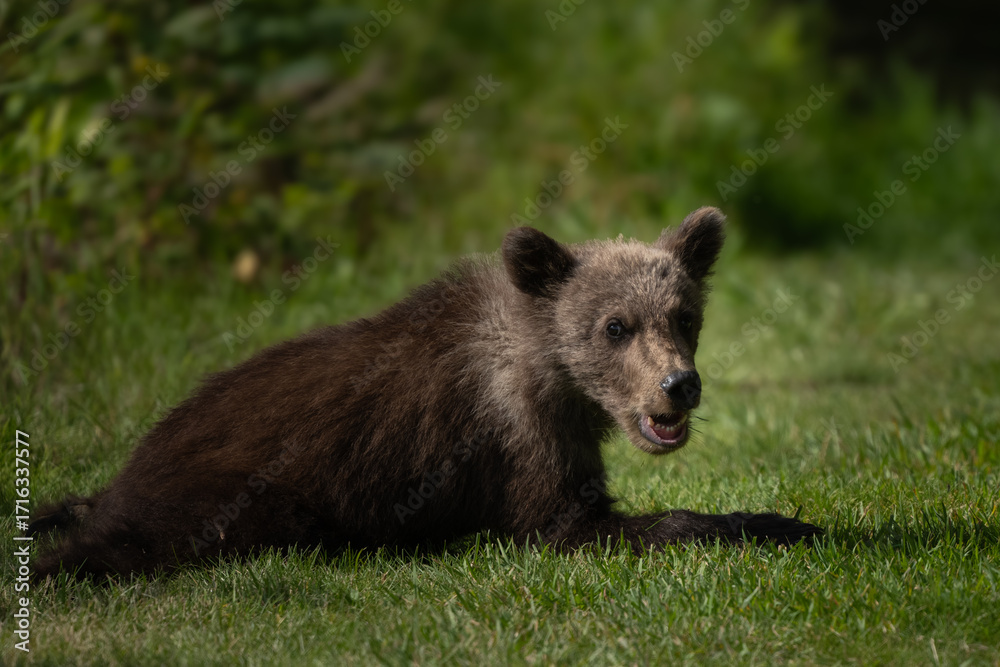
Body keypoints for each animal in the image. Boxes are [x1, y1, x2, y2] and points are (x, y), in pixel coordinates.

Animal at [29, 206, 820, 579]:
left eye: (684, 315)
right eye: (615, 325)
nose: (678, 384)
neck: (553, 378)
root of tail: (134, 460)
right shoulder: (514, 442)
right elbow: (569, 523)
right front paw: (777, 524)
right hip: (240, 490)